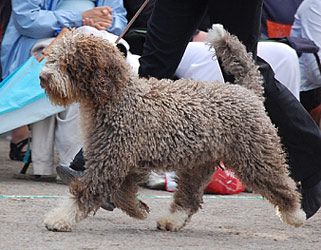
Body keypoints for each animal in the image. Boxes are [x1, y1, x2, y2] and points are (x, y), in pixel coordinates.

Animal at [41, 24, 304, 231]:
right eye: (53, 58)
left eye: (68, 64)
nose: (44, 77)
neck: (118, 96)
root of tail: (247, 92)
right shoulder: (125, 161)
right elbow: (123, 193)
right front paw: (138, 209)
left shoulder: (110, 160)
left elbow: (87, 192)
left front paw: (60, 218)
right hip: (198, 163)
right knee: (189, 197)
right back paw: (172, 220)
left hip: (255, 155)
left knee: (281, 184)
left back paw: (295, 214)